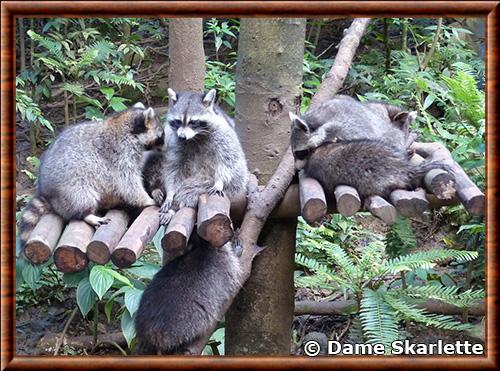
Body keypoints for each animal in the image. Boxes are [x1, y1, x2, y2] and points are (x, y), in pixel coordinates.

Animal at [18, 104, 163, 244]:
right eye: (161, 135)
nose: (165, 148)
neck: (126, 127)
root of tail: (48, 194)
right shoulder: (120, 155)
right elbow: (128, 184)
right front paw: (146, 199)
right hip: (71, 185)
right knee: (82, 196)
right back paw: (87, 214)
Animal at [146, 88, 250, 225]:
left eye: (193, 122)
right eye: (178, 121)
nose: (182, 136)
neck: (195, 137)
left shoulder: (222, 135)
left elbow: (227, 159)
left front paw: (219, 181)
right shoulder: (173, 142)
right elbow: (173, 168)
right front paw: (170, 193)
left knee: (190, 190)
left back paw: (174, 207)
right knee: (155, 161)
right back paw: (156, 189)